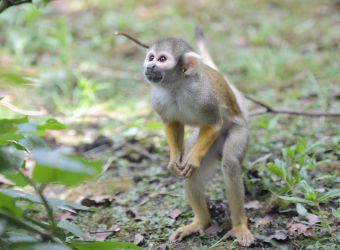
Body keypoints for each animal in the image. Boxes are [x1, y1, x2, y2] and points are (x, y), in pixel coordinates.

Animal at [141, 27, 255, 246]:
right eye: (151, 57)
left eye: (161, 59)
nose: (150, 65)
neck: (177, 86)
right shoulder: (157, 97)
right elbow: (172, 123)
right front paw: (174, 160)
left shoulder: (204, 96)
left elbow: (213, 124)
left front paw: (192, 160)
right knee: (195, 173)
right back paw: (201, 222)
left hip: (239, 129)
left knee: (230, 163)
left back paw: (239, 226)